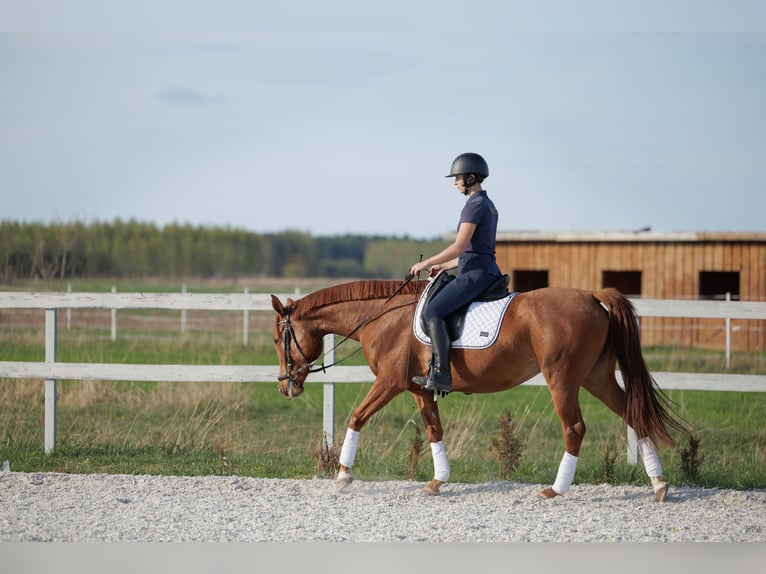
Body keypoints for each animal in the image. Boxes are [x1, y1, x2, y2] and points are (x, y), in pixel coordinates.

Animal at [270, 278, 688, 501]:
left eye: (278, 339)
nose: (286, 388)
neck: (384, 318)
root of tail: (590, 295)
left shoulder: (388, 383)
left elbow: (357, 418)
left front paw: (343, 476)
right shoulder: (419, 389)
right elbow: (434, 429)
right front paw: (437, 481)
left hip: (563, 378)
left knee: (574, 428)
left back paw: (555, 489)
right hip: (596, 377)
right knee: (633, 414)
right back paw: (659, 484)